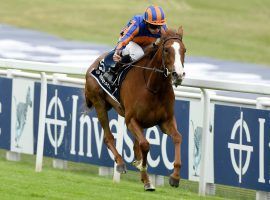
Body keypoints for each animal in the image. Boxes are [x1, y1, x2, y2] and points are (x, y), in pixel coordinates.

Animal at [84, 26, 186, 191]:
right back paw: (120, 163)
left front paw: (175, 177)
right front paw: (146, 179)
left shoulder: (166, 120)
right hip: (99, 104)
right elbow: (145, 145)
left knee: (135, 144)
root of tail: (94, 64)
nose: (178, 74)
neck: (153, 87)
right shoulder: (131, 120)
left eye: (184, 50)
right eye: (166, 50)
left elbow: (177, 137)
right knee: (108, 137)